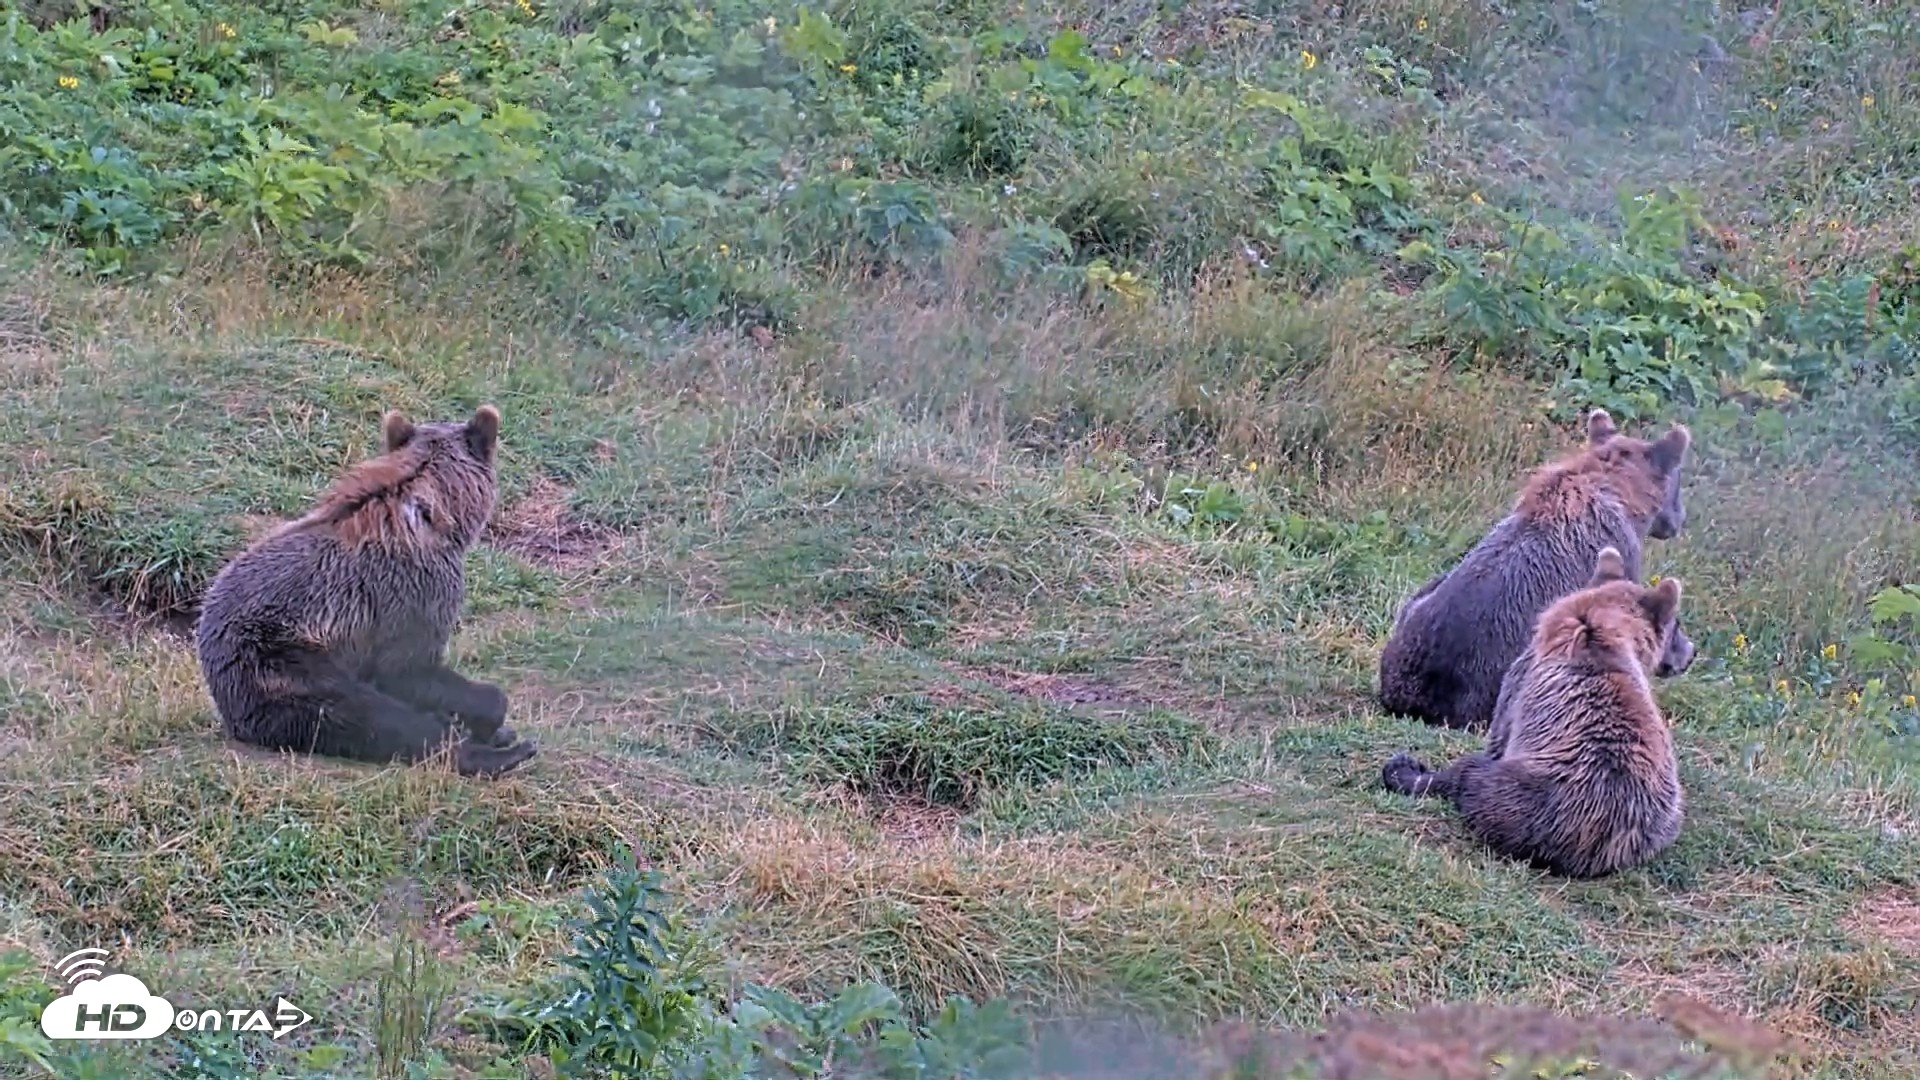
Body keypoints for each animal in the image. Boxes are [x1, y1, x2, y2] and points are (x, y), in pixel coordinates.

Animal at [193, 405, 537, 778]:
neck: (434, 513)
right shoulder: (413, 592)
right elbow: (407, 669)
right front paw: (491, 716)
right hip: (281, 660)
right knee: (369, 716)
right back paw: (502, 753)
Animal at [1379, 546, 1692, 879]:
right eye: (1676, 627)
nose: (1691, 653)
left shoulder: (1518, 680)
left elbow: (1499, 735)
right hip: (1663, 816)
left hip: (1529, 793)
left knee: (1470, 776)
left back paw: (1405, 771)